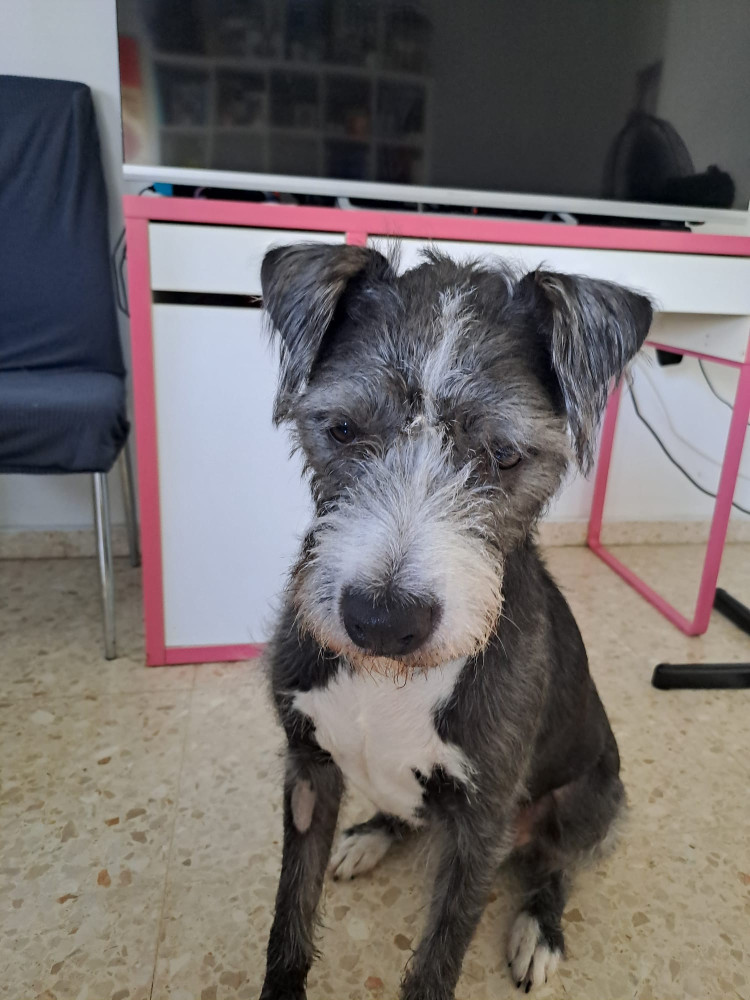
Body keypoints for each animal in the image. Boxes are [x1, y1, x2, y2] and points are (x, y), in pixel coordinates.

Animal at [258, 241, 652, 1000]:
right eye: (342, 429)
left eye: (505, 454)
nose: (382, 621)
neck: (391, 680)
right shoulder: (308, 772)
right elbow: (288, 920)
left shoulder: (482, 823)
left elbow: (440, 957)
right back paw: (372, 835)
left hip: (588, 801)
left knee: (554, 864)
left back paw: (539, 930)